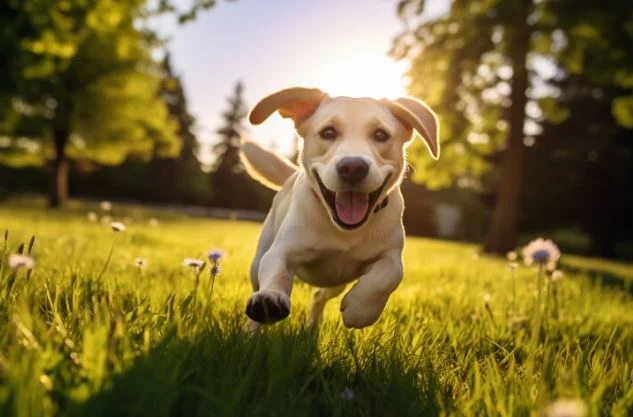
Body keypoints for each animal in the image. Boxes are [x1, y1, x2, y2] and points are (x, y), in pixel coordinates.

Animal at [239, 87, 436, 328]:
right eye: (328, 132)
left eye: (380, 135)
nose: (353, 167)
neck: (342, 230)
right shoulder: (282, 250)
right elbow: (276, 269)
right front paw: (270, 298)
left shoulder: (390, 254)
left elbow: (390, 273)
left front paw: (360, 310)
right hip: (258, 258)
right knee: (259, 280)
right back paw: (253, 328)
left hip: (336, 283)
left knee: (319, 296)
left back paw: (313, 327)